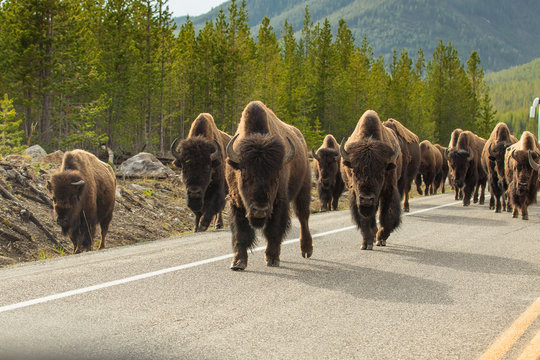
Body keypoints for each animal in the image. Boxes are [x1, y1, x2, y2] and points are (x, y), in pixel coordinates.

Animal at [226, 101, 314, 270]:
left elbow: (274, 231)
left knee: (303, 217)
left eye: (276, 176)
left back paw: (306, 250)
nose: (260, 210)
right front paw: (238, 262)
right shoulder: (236, 202)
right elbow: (241, 234)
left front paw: (272, 259)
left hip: (303, 190)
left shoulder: (279, 203)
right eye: (244, 173)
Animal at [340, 109, 402, 250]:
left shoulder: (388, 190)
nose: (367, 199)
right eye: (355, 171)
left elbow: (387, 215)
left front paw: (381, 238)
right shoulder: (356, 195)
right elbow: (364, 219)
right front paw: (366, 243)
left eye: (381, 173)